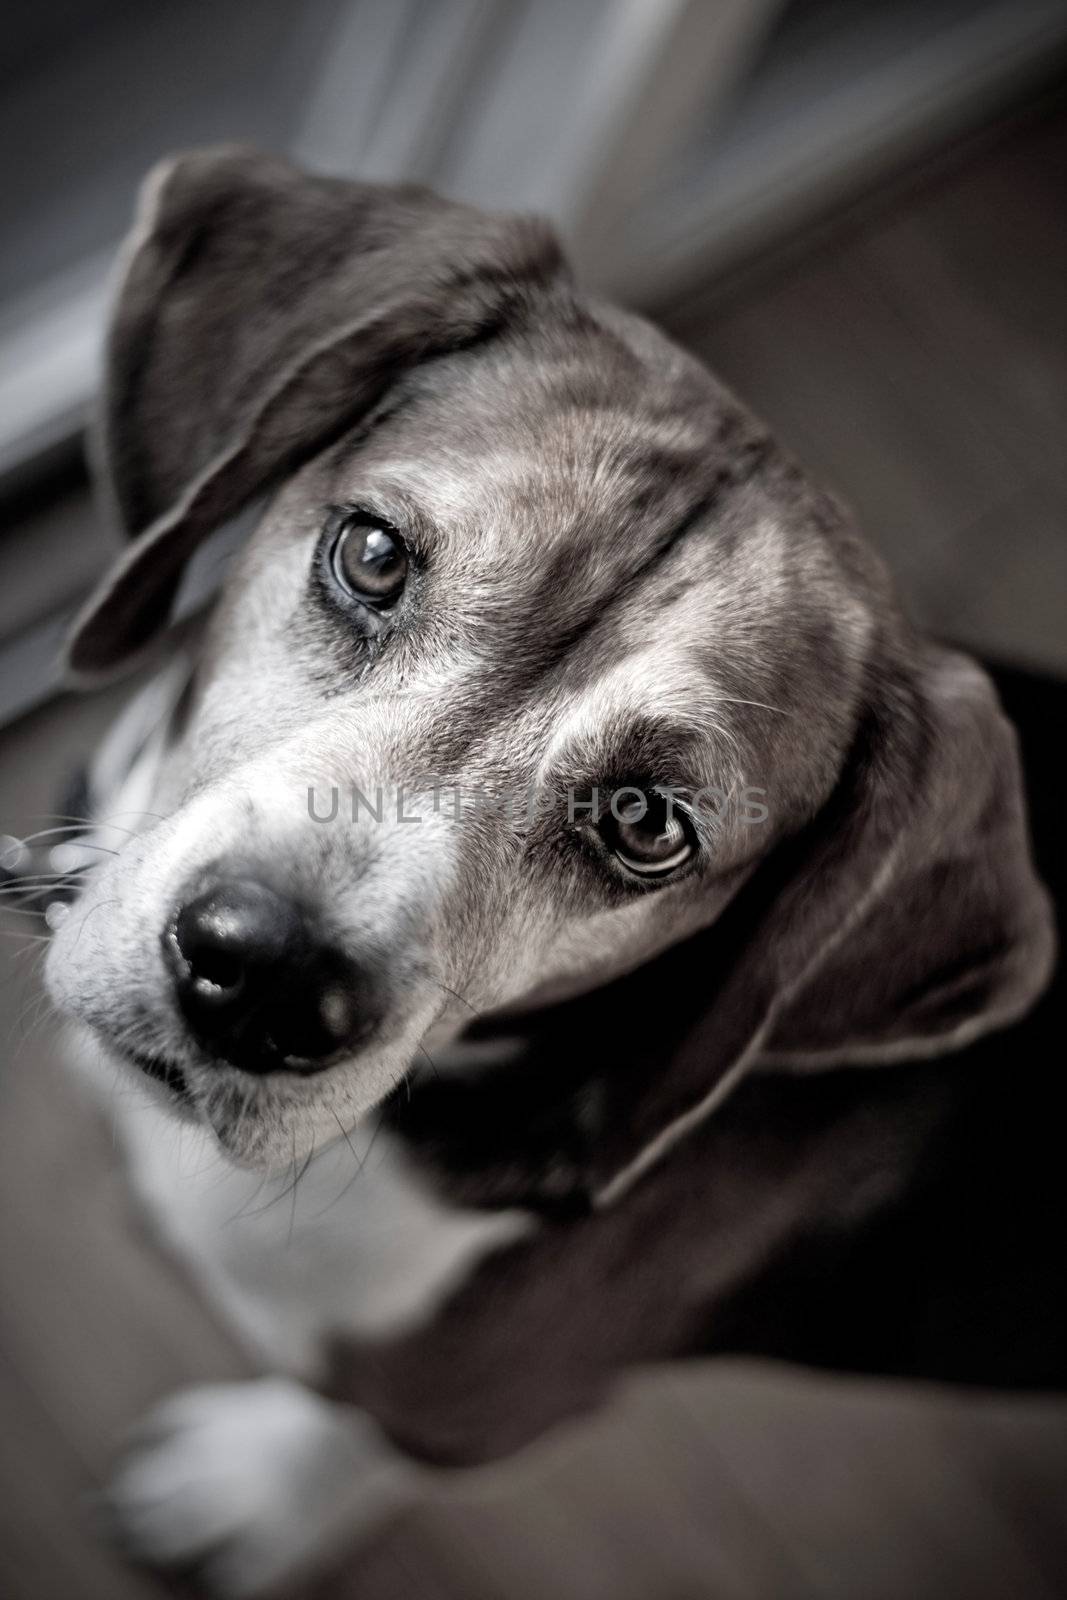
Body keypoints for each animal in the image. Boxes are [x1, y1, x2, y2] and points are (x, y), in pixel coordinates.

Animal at [39, 147, 1049, 1587]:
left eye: (645, 822)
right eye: (371, 554)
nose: (262, 977)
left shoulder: (473, 1401)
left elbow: (359, 1438)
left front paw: (250, 1494)